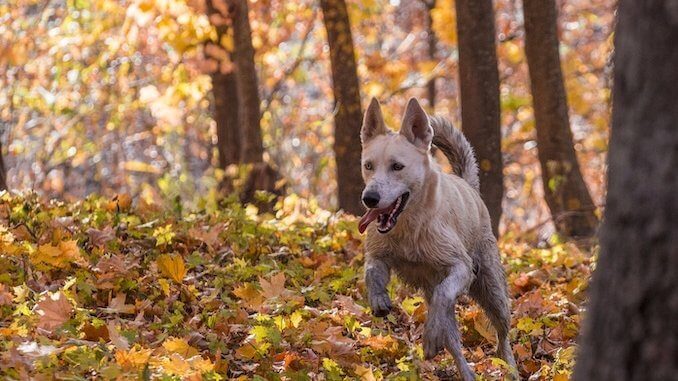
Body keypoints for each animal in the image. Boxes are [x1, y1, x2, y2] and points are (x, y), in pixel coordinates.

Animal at [362, 97, 516, 378]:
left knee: (502, 334)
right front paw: (378, 299)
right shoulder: (378, 253)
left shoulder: (461, 267)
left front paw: (430, 336)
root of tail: (468, 186)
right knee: (453, 341)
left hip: (492, 290)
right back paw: (467, 373)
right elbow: (371, 270)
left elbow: (443, 294)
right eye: (368, 165)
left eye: (397, 166)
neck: (410, 228)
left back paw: (510, 367)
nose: (370, 198)